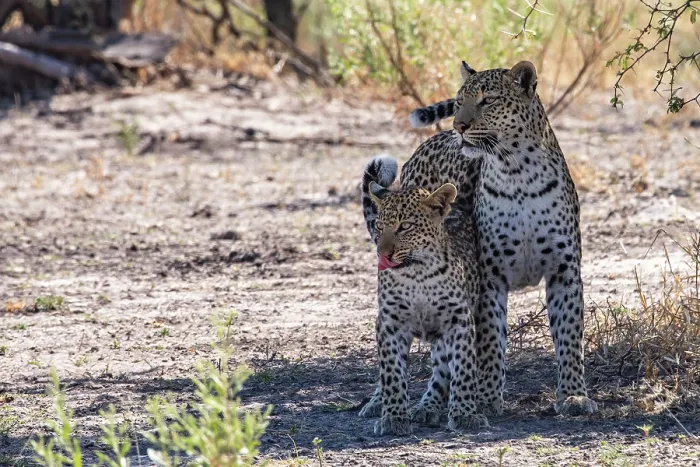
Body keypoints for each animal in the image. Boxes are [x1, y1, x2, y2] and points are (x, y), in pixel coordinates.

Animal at [359, 154, 488, 436]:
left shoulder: (459, 320)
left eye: (405, 226)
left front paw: (465, 413)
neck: (417, 274)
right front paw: (393, 417)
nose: (382, 253)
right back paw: (377, 403)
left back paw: (428, 406)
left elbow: (463, 369)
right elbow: (392, 372)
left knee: (441, 369)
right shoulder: (389, 323)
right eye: (379, 226)